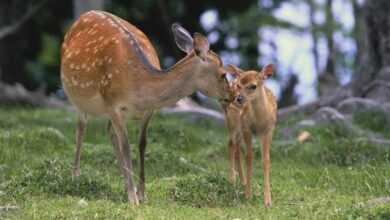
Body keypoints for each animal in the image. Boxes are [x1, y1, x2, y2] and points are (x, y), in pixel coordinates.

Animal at [60, 11, 232, 205]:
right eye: (223, 74)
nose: (232, 96)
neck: (138, 87)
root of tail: (84, 15)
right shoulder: (113, 104)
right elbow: (126, 147)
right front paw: (133, 198)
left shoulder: (148, 111)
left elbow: (142, 144)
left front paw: (141, 192)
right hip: (77, 97)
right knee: (81, 128)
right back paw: (75, 176)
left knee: (109, 130)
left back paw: (125, 182)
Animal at [222, 63, 278, 206]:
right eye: (239, 86)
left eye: (253, 86)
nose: (239, 99)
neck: (259, 119)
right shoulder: (247, 128)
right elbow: (249, 158)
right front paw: (248, 194)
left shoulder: (268, 130)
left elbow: (266, 161)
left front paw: (267, 200)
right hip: (233, 123)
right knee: (231, 145)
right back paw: (232, 179)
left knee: (237, 149)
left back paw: (243, 181)